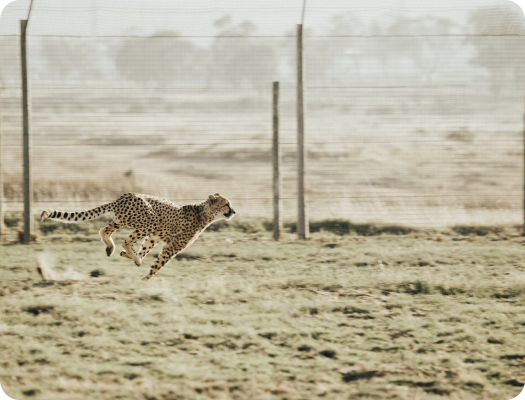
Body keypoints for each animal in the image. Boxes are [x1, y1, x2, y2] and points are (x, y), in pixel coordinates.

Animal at [40, 193, 235, 282]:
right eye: (226, 204)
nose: (233, 211)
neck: (204, 213)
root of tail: (122, 197)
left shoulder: (154, 236)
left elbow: (145, 249)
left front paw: (132, 257)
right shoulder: (171, 246)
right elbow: (158, 264)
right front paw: (145, 278)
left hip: (123, 220)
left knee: (104, 230)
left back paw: (112, 249)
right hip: (150, 220)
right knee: (125, 240)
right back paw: (129, 255)